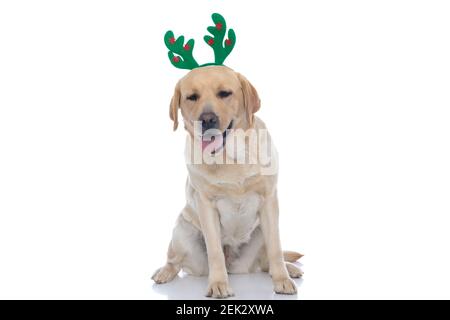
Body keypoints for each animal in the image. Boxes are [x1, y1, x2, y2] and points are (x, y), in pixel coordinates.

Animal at [151, 65, 302, 298]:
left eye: (224, 93)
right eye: (191, 97)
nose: (207, 119)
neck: (231, 157)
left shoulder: (269, 200)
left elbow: (276, 248)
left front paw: (282, 280)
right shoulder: (206, 205)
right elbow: (215, 252)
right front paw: (218, 284)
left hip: (260, 234)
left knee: (266, 260)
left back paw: (290, 269)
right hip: (182, 232)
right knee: (174, 260)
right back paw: (164, 273)